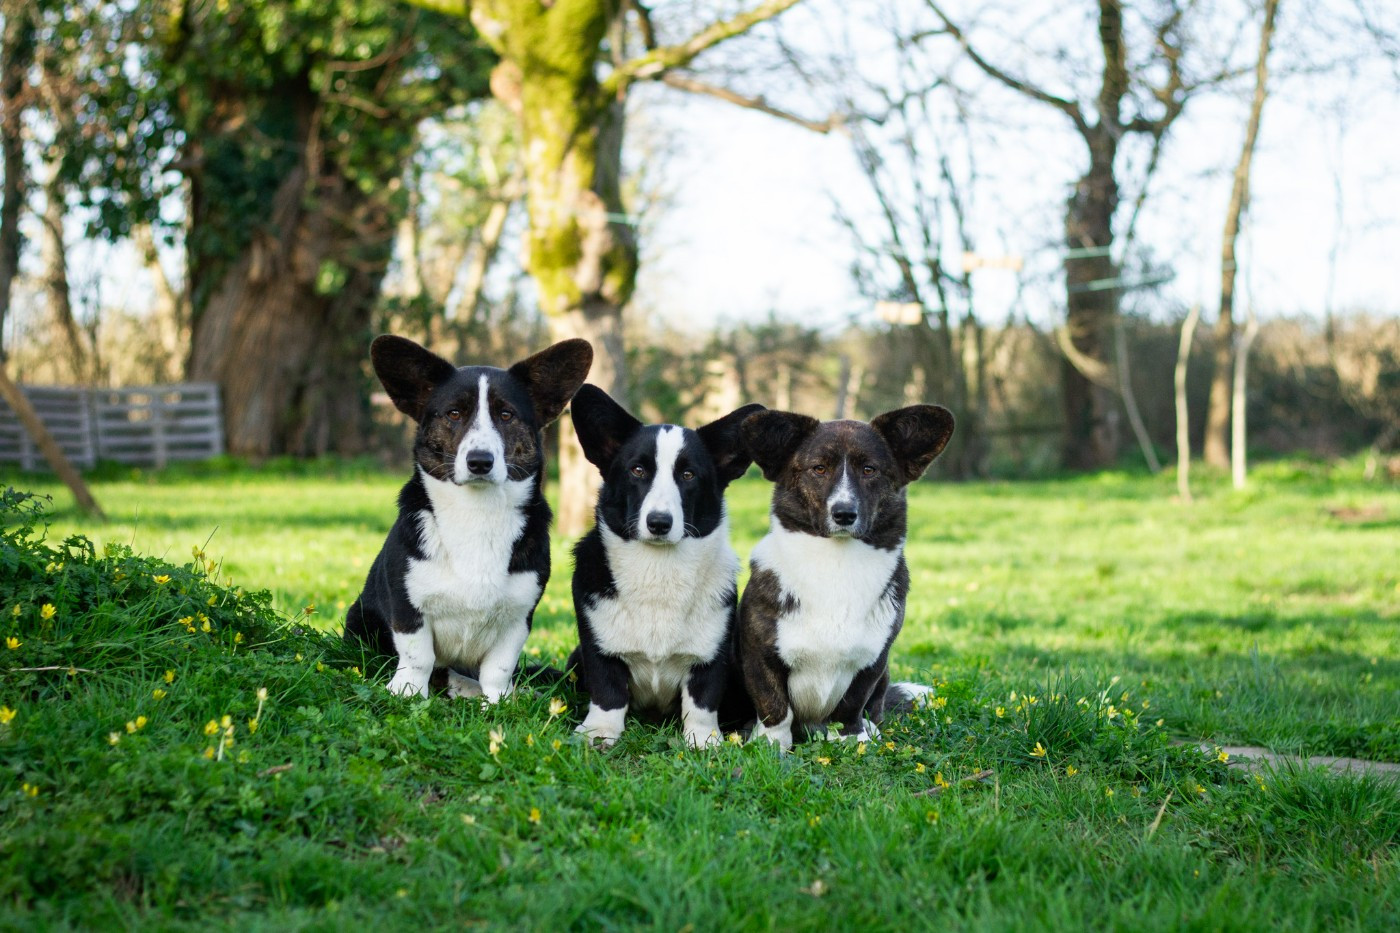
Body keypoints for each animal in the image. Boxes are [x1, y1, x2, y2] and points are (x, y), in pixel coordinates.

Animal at [344, 335, 592, 701]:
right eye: (454, 413)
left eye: (506, 414)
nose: (479, 461)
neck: (478, 512)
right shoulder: (407, 606)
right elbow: (419, 657)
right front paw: (407, 693)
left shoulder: (518, 617)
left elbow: (498, 669)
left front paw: (499, 702)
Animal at [567, 385, 764, 747]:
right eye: (637, 470)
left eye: (688, 475)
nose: (659, 523)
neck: (658, 569)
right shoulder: (597, 649)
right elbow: (607, 691)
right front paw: (599, 733)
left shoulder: (711, 656)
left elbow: (703, 700)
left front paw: (704, 741)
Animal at [736, 405, 954, 749]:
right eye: (819, 468)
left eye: (869, 469)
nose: (844, 514)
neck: (837, 563)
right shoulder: (761, 654)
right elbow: (774, 704)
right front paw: (771, 745)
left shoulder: (873, 660)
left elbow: (853, 703)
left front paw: (853, 738)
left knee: (876, 705)